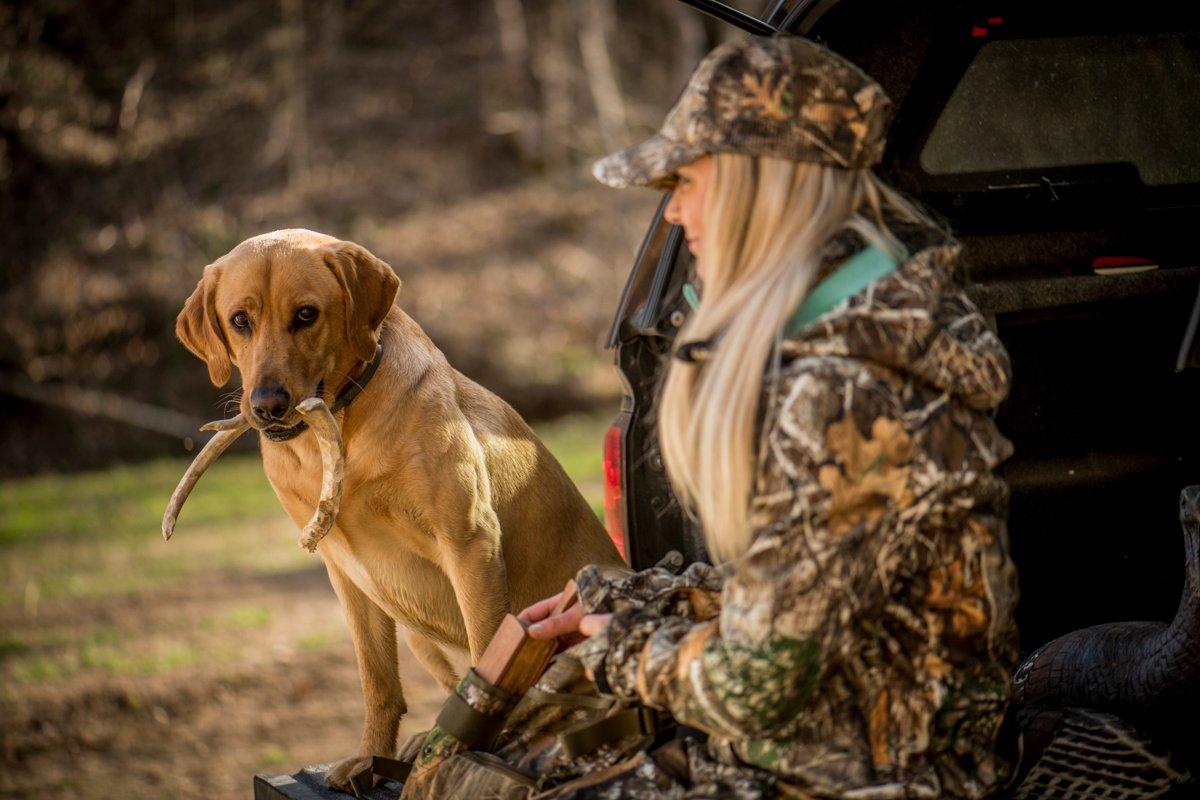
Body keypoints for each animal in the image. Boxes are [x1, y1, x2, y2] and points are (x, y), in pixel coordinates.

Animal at [174, 227, 624, 791]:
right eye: (239, 320)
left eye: (306, 314)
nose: (268, 405)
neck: (339, 425)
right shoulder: (344, 571)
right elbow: (378, 683)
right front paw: (371, 756)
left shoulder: (470, 544)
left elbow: (488, 656)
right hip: (413, 632)